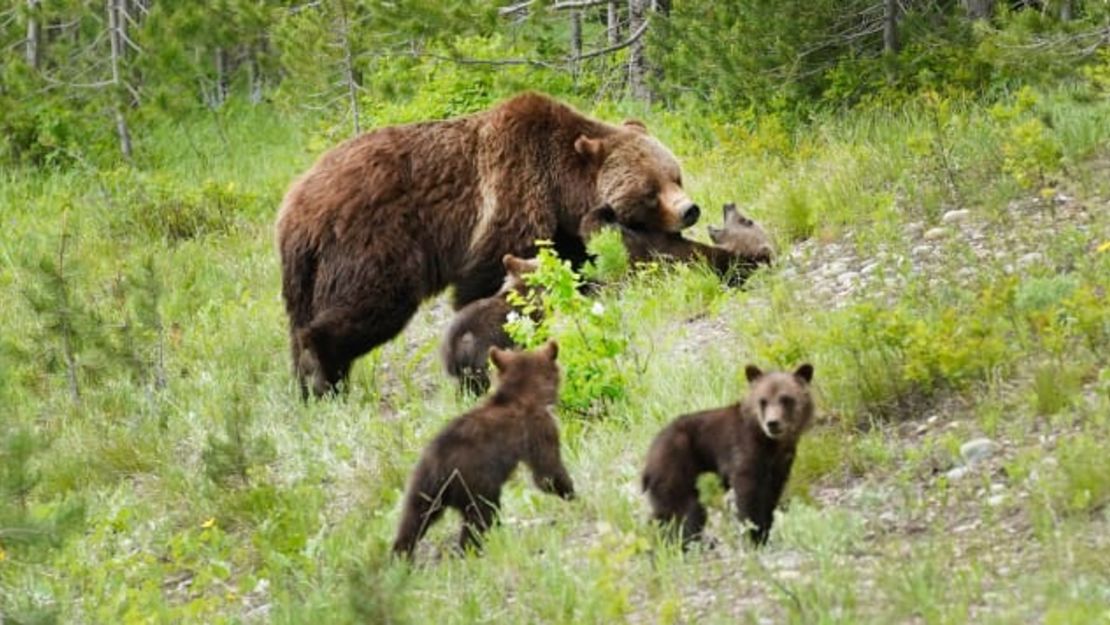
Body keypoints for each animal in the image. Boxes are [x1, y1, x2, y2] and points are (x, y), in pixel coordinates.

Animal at [390, 339, 577, 559]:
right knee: (480, 517)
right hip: (475, 483)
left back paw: (401, 557)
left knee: (413, 520)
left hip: (421, 487)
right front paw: (572, 494)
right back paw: (472, 549)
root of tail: (438, 468)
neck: (522, 395)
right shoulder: (538, 428)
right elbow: (547, 472)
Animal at [643, 364, 816, 546]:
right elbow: (748, 494)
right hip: (676, 469)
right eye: (763, 401)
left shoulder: (780, 463)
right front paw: (753, 535)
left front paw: (765, 531)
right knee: (684, 511)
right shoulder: (744, 451)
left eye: (786, 399)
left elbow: (771, 495)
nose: (772, 423)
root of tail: (648, 458)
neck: (770, 443)